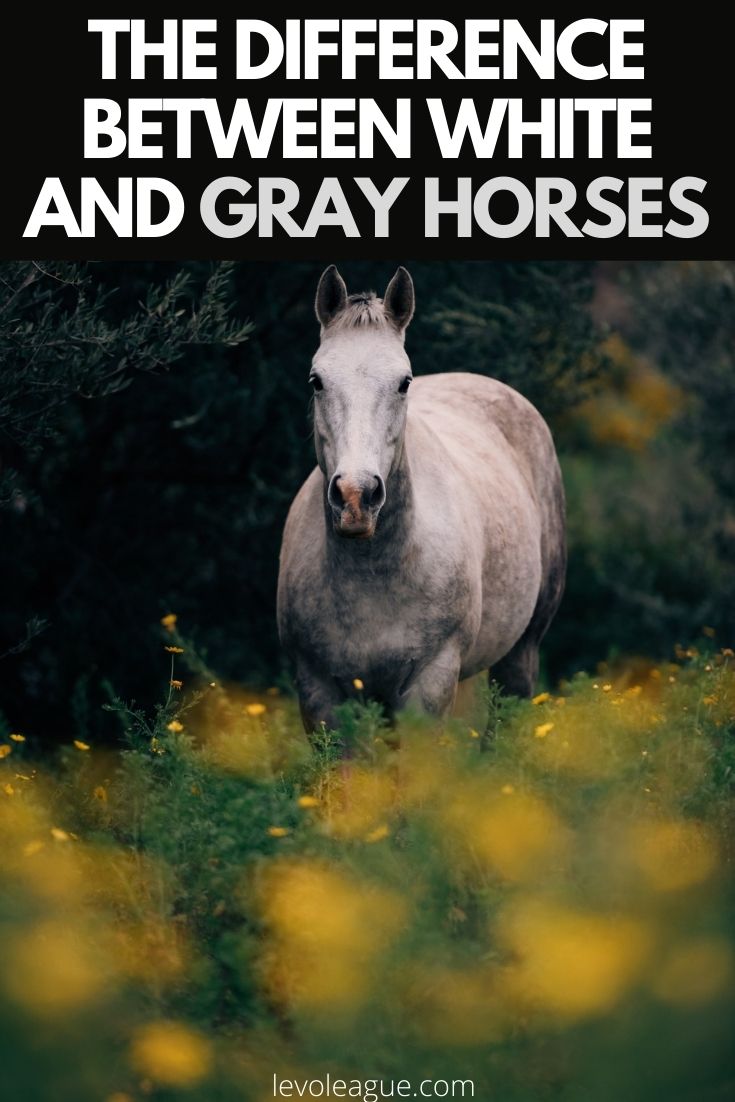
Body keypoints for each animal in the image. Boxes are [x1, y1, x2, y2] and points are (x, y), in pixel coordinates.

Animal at [277, 265, 566, 733]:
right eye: (316, 381)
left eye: (403, 383)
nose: (356, 497)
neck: (374, 573)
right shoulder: (319, 691)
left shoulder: (430, 684)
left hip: (521, 653)